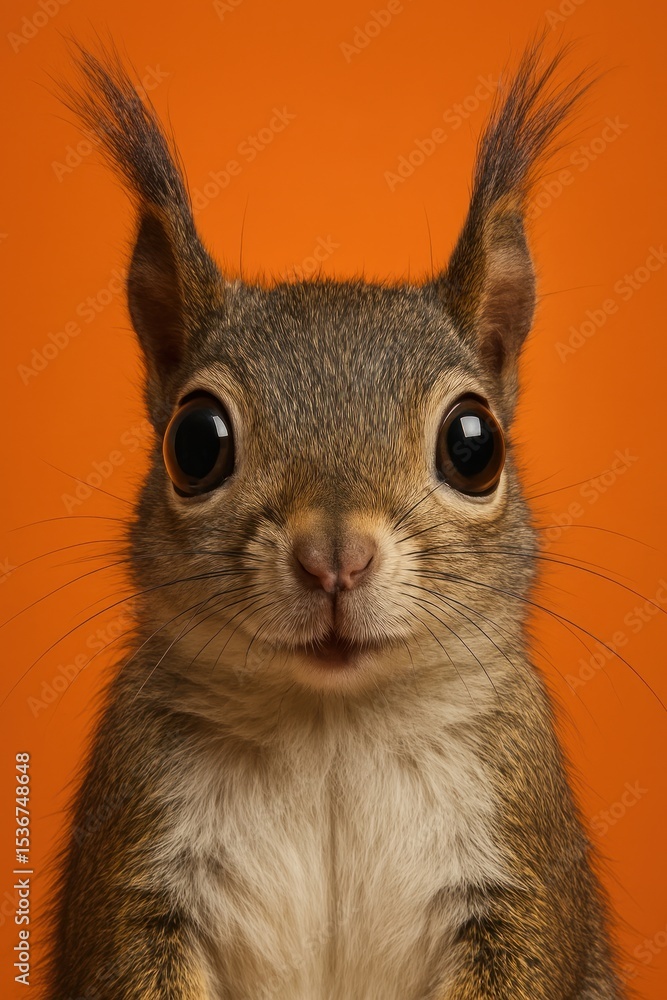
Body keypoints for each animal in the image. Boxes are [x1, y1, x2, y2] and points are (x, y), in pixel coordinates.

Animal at [46, 38, 625, 1000]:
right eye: (195, 441)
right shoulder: (131, 870)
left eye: (473, 444)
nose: (334, 559)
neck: (332, 730)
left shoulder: (521, 867)